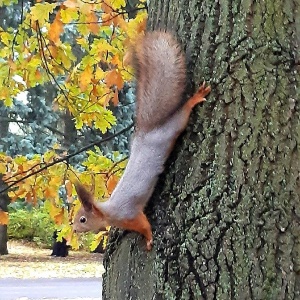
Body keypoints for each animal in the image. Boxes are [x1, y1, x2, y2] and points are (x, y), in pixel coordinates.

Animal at [72, 30, 211, 251]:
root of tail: (148, 131)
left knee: (183, 114)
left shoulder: (131, 214)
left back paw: (195, 98)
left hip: (172, 128)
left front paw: (149, 239)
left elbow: (144, 225)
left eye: (83, 219)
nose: (75, 229)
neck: (109, 212)